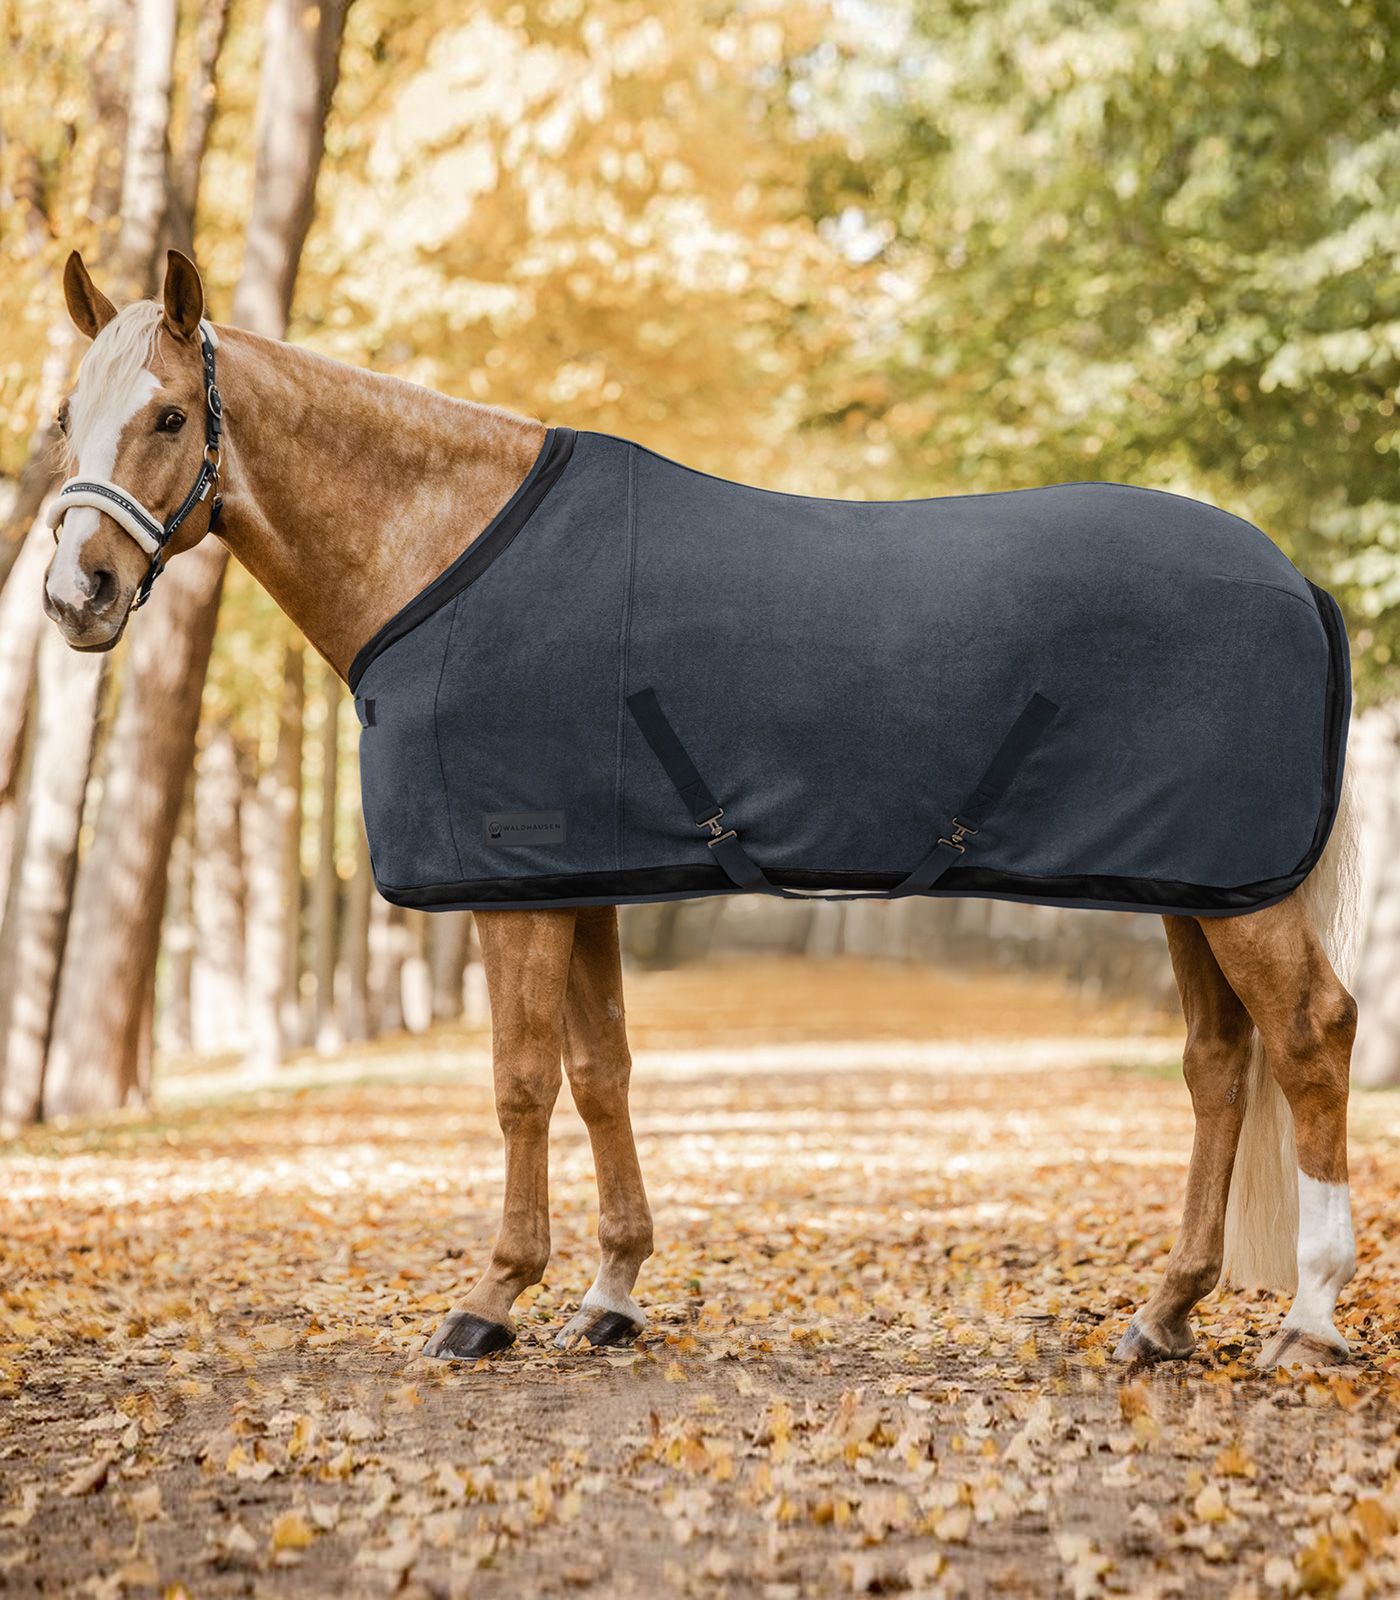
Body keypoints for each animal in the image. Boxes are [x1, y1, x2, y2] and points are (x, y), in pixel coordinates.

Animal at [39, 248, 1361, 1371]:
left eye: (168, 416)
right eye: (64, 419)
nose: (74, 595)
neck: (445, 553)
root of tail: (1293, 579)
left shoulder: (511, 883)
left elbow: (520, 1082)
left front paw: (491, 1298)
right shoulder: (576, 880)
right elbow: (600, 1071)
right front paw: (610, 1292)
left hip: (1241, 893)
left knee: (1308, 1036)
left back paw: (1305, 1318)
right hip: (1194, 884)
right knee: (1217, 1063)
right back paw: (1165, 1312)